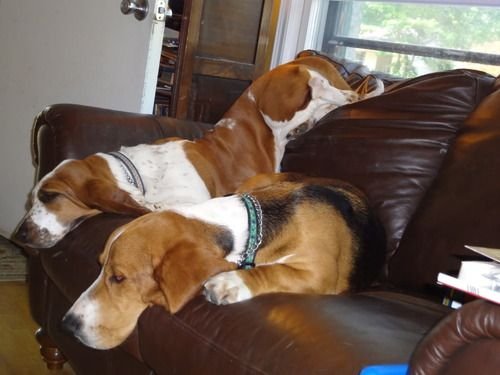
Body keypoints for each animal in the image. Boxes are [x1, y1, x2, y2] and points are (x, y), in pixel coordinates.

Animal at [14, 55, 382, 248]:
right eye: (31, 198)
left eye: (50, 196)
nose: (18, 235)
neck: (139, 172)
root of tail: (304, 57)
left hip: (288, 94)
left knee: (344, 94)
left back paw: (366, 89)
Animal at [60, 175, 384, 352]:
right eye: (99, 267)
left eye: (118, 278)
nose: (67, 324)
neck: (251, 224)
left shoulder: (321, 273)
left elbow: (277, 270)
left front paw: (231, 282)